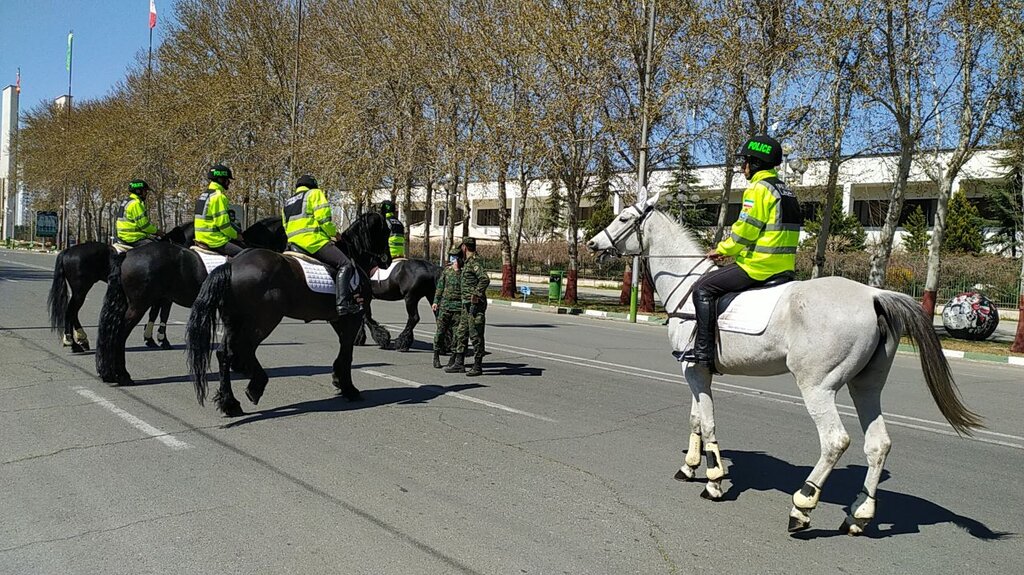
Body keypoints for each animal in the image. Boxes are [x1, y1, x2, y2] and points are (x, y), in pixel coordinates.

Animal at [47, 222, 195, 351]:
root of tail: (67, 250)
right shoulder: (165, 297)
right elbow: (163, 314)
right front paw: (162, 340)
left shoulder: (158, 296)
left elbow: (154, 313)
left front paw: (150, 339)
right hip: (81, 290)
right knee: (70, 311)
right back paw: (72, 343)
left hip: (80, 291)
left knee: (73, 312)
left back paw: (81, 340)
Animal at [184, 212, 391, 413]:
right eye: (387, 232)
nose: (388, 260)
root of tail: (232, 264)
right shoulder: (352, 318)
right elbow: (347, 353)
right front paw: (349, 389)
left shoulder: (338, 320)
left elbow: (343, 352)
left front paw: (339, 380)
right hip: (264, 320)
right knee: (244, 347)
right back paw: (255, 387)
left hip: (233, 320)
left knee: (225, 353)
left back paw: (230, 403)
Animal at [585, 191, 983, 532]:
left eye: (623, 217)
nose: (592, 244)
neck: (689, 285)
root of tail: (874, 295)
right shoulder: (698, 373)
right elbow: (696, 419)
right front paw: (690, 466)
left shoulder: (693, 369)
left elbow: (708, 423)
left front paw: (714, 482)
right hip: (866, 386)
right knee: (878, 444)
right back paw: (859, 515)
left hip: (818, 387)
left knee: (835, 441)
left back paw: (803, 506)